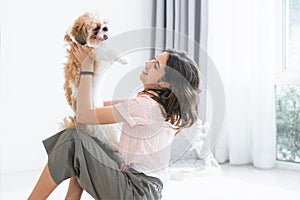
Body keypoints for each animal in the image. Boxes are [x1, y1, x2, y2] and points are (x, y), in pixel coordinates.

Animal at [61, 10, 127, 151]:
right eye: (96, 28)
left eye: (104, 23)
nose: (106, 28)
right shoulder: (94, 51)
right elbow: (108, 49)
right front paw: (124, 58)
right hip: (104, 126)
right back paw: (116, 146)